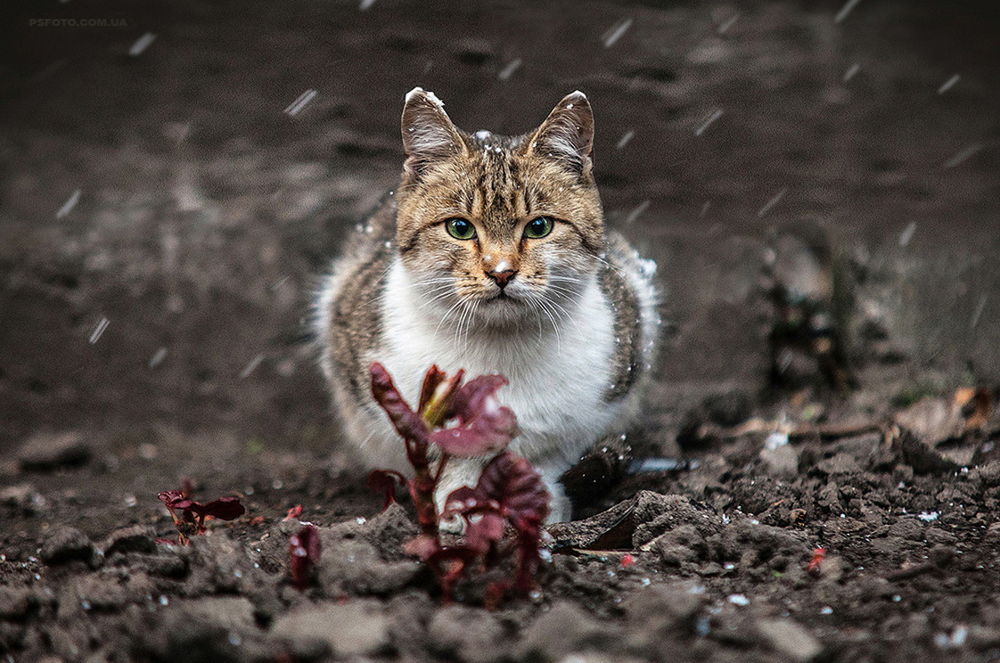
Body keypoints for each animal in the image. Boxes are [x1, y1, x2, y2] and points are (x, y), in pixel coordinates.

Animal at [314, 88, 656, 524]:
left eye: (539, 227)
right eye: (459, 228)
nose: (501, 271)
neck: (498, 345)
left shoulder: (596, 404)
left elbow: (547, 456)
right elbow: (450, 461)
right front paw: (458, 508)